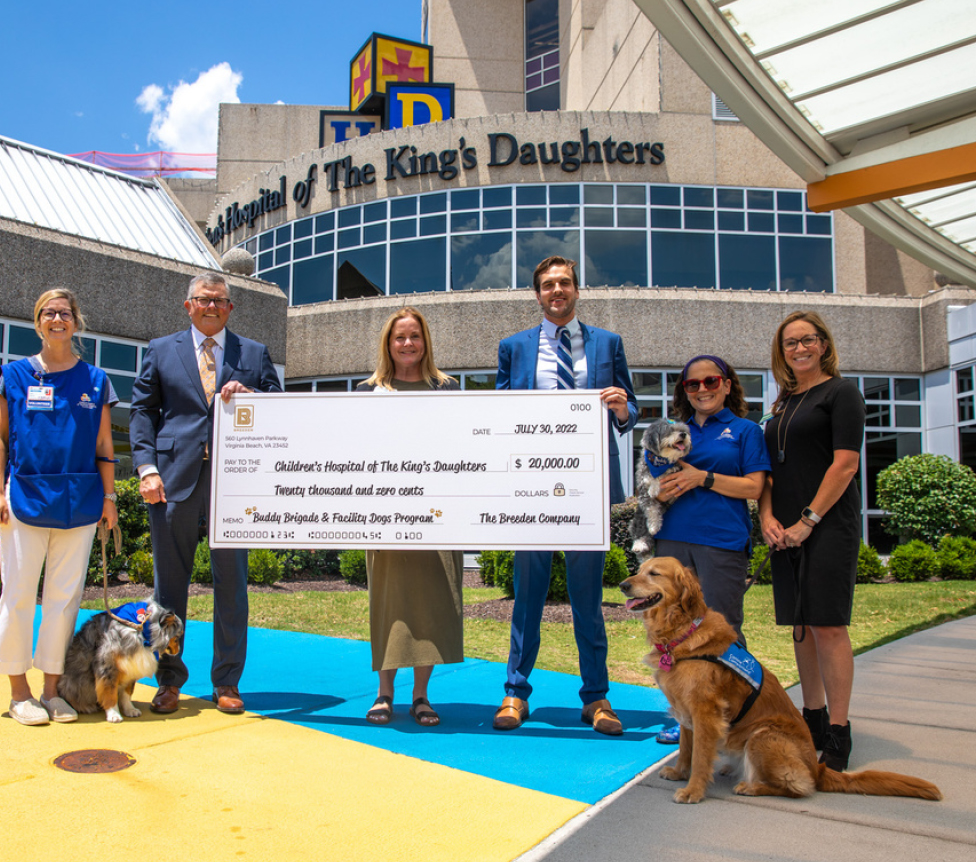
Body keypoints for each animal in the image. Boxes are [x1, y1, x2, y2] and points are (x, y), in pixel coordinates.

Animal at [57, 600, 185, 724]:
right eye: (178, 636)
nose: (178, 651)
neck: (141, 630)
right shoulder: (108, 667)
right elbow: (110, 693)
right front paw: (114, 715)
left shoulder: (131, 665)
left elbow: (127, 692)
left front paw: (130, 709)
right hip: (68, 683)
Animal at [628, 418, 692, 560]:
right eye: (669, 431)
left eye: (682, 430)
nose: (683, 435)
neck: (659, 461)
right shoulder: (643, 493)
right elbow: (652, 510)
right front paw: (654, 527)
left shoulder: (677, 471)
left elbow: (664, 474)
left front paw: (655, 487)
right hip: (638, 516)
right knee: (640, 532)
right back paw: (639, 544)